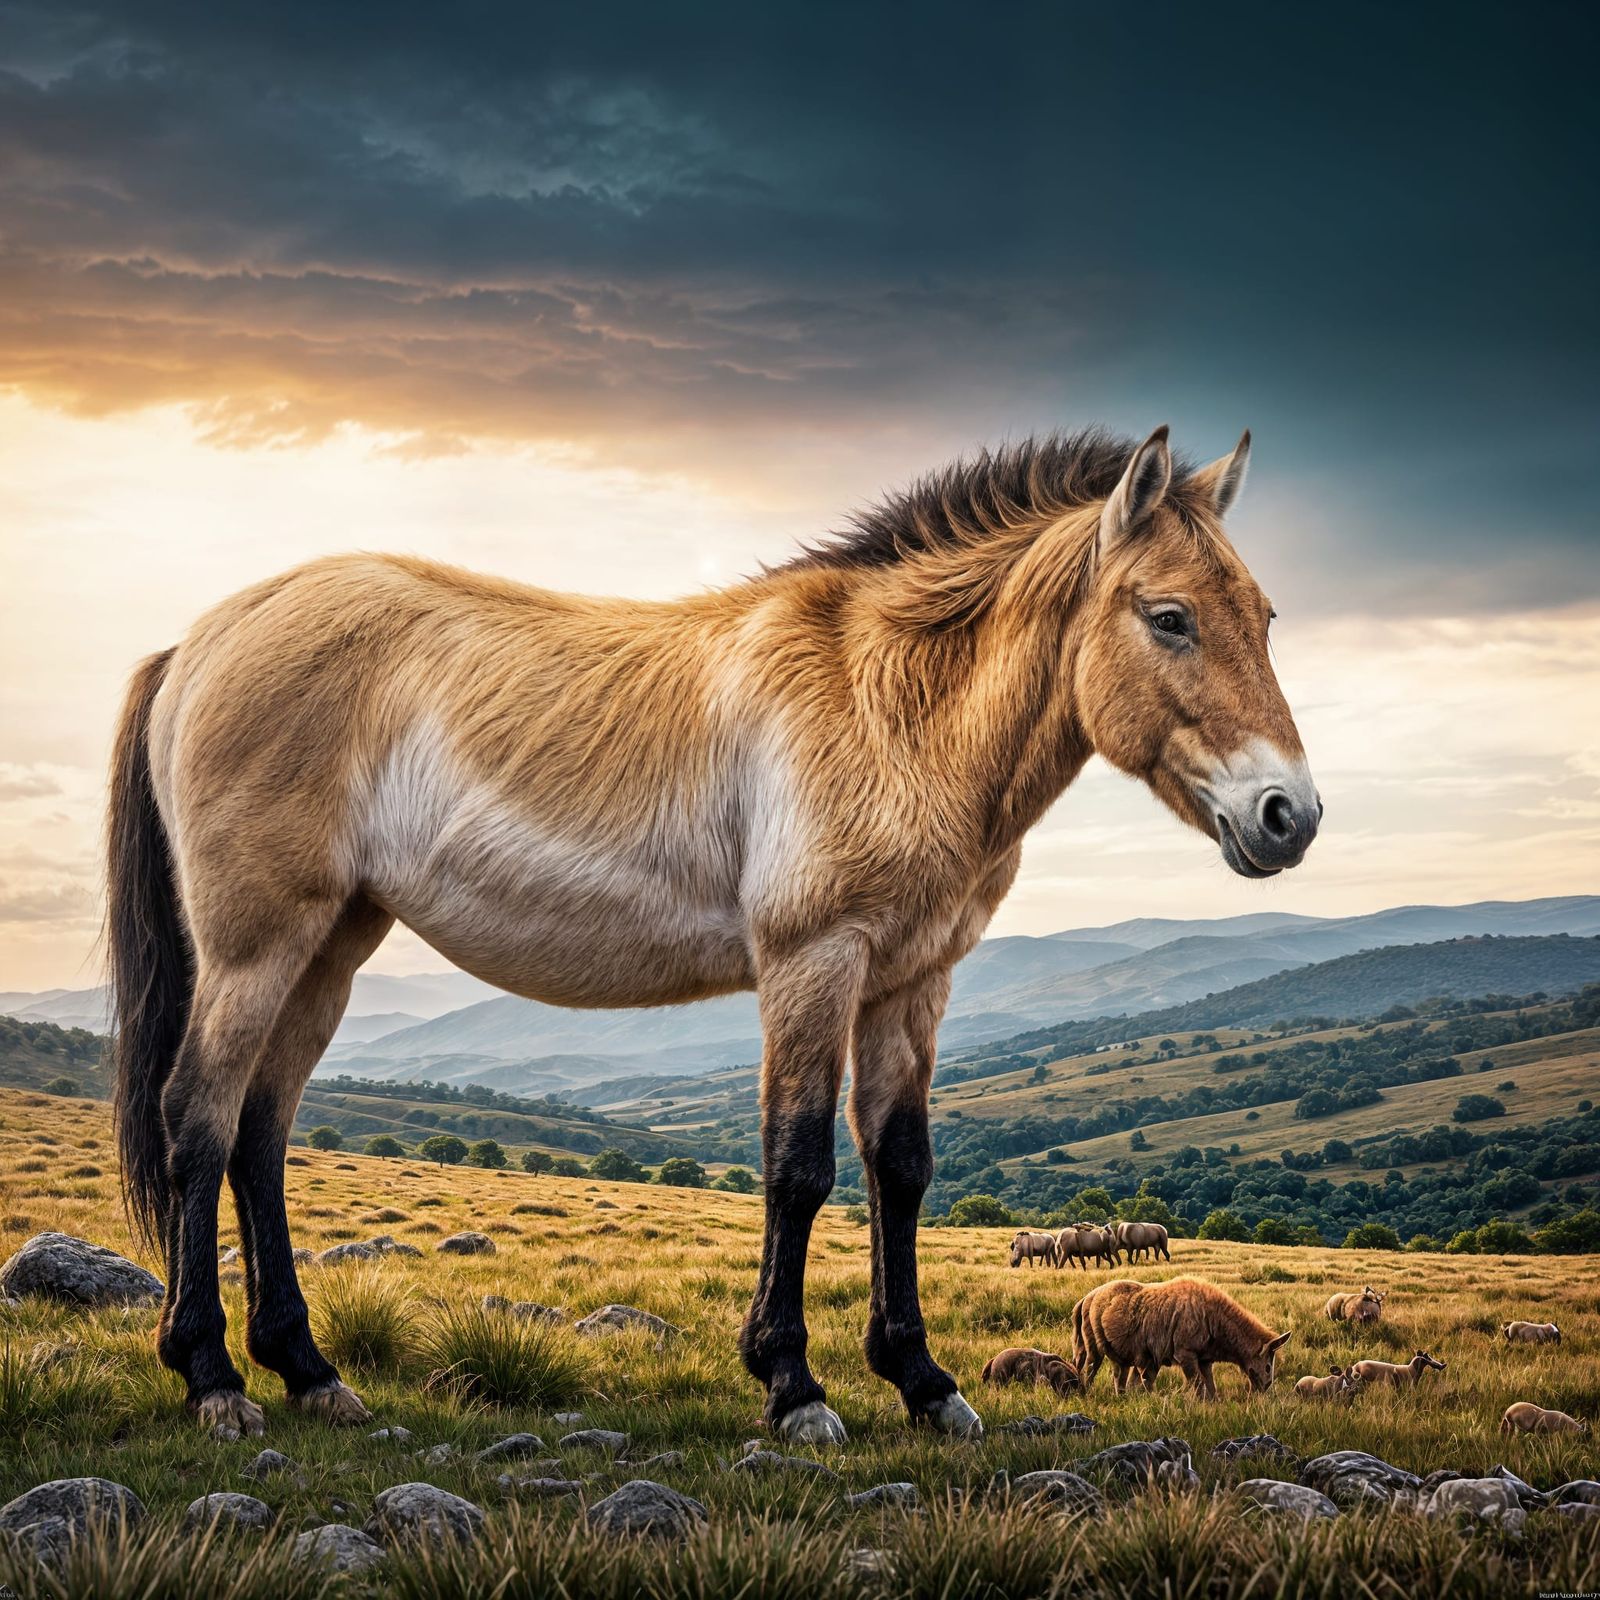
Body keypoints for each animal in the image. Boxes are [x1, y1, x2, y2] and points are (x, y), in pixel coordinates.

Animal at [106, 425, 1320, 1444]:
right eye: (1169, 617)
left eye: (1263, 616)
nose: (1289, 816)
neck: (889, 702)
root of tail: (200, 641)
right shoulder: (811, 963)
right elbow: (799, 1166)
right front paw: (792, 1387)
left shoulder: (910, 982)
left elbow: (901, 1169)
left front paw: (924, 1383)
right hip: (256, 946)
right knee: (198, 1120)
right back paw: (212, 1376)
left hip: (332, 945)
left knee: (260, 1135)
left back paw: (308, 1371)